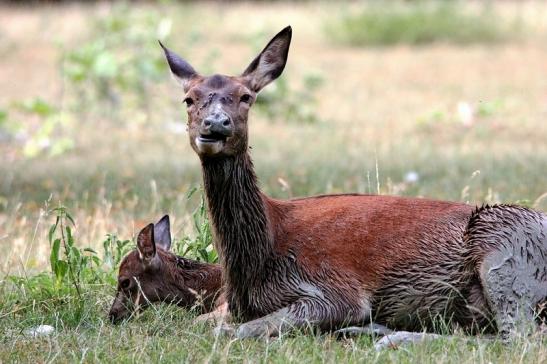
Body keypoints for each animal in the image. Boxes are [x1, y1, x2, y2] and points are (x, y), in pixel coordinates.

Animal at [159, 26, 547, 342]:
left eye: (246, 97)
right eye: (189, 99)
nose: (216, 124)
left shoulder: (335, 290)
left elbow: (235, 331)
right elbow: (200, 323)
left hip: (507, 244)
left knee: (518, 338)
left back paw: (389, 336)